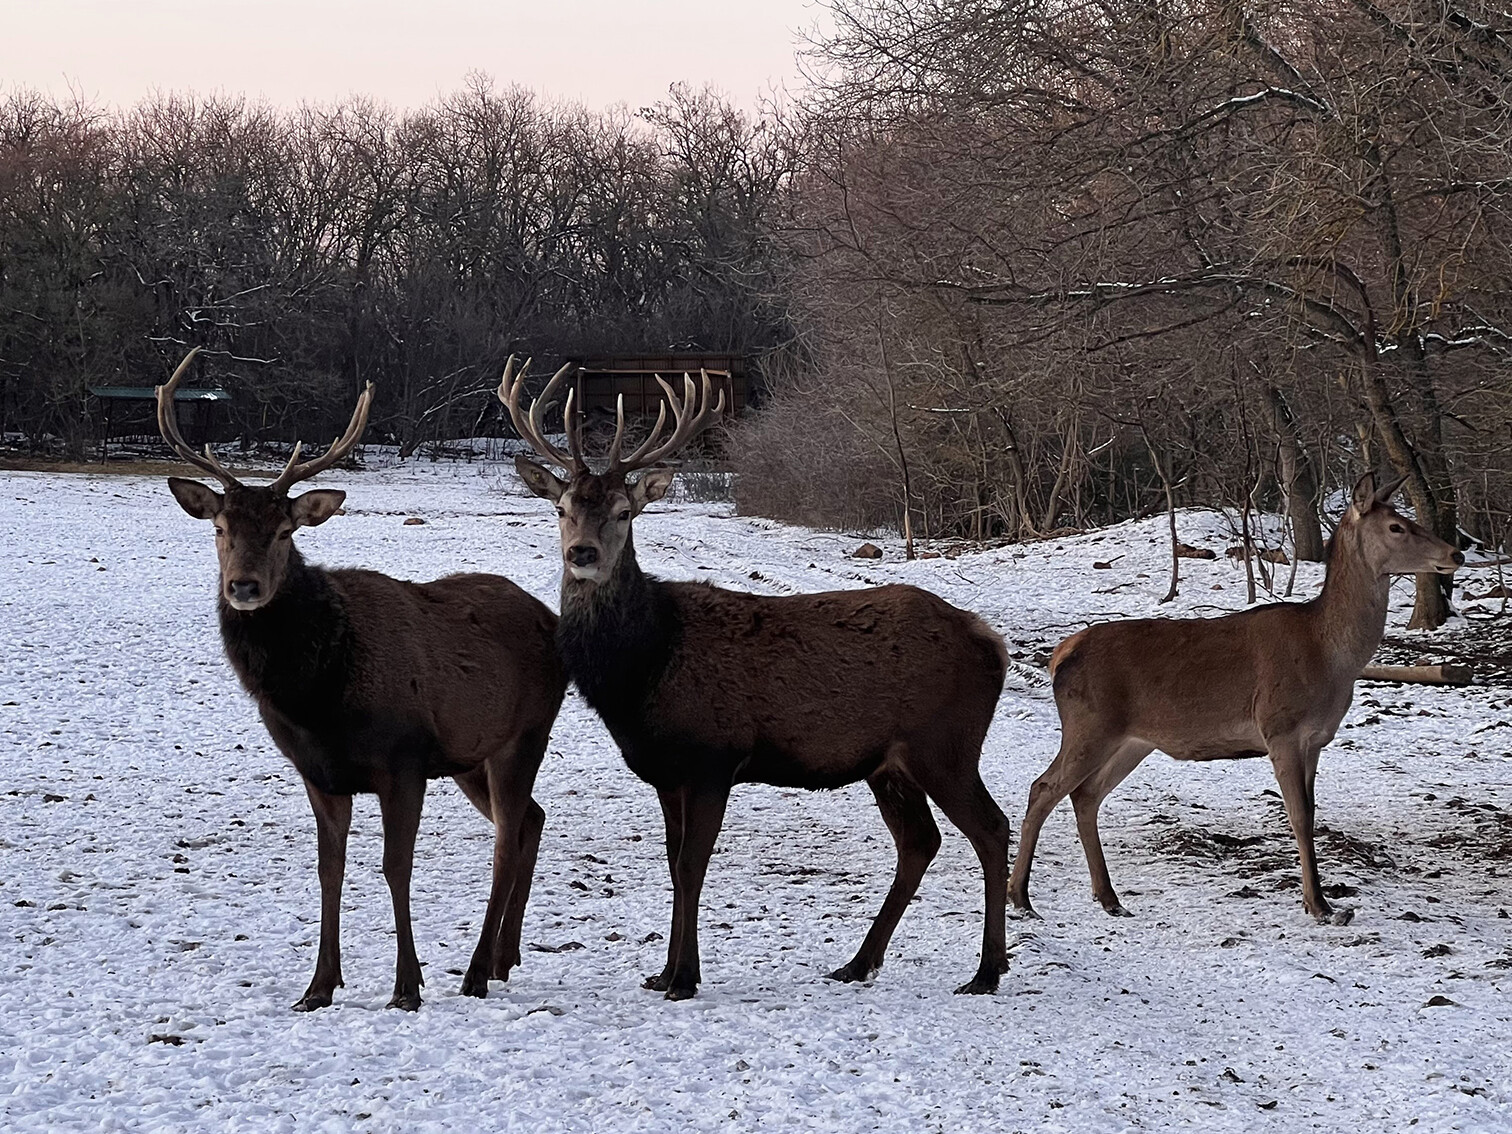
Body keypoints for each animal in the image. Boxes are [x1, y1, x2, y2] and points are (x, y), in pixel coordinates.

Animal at [157, 349, 565, 1011]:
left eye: (285, 531)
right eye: (219, 528)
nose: (243, 585)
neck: (318, 700)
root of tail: (553, 621)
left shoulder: (405, 760)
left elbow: (395, 866)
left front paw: (407, 985)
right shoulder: (319, 773)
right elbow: (331, 869)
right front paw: (318, 986)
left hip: (524, 735)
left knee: (507, 838)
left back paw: (477, 970)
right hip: (471, 757)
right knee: (531, 818)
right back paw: (504, 959)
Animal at [499, 358, 1013, 999]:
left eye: (624, 511)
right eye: (562, 508)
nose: (584, 554)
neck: (644, 669)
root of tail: (990, 642)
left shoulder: (714, 755)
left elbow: (692, 865)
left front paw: (684, 978)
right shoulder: (667, 771)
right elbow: (673, 864)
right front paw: (663, 972)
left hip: (945, 743)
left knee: (991, 828)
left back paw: (988, 969)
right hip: (888, 763)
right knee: (920, 841)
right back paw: (858, 962)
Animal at [1009, 472, 1464, 926]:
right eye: (1396, 527)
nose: (1456, 554)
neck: (1329, 655)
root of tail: (1059, 654)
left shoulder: (1316, 739)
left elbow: (1312, 812)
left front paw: (1319, 900)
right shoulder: (1280, 727)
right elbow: (1299, 816)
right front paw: (1319, 904)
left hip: (1132, 740)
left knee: (1085, 795)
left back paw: (1109, 897)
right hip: (1090, 724)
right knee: (1043, 787)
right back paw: (1021, 897)